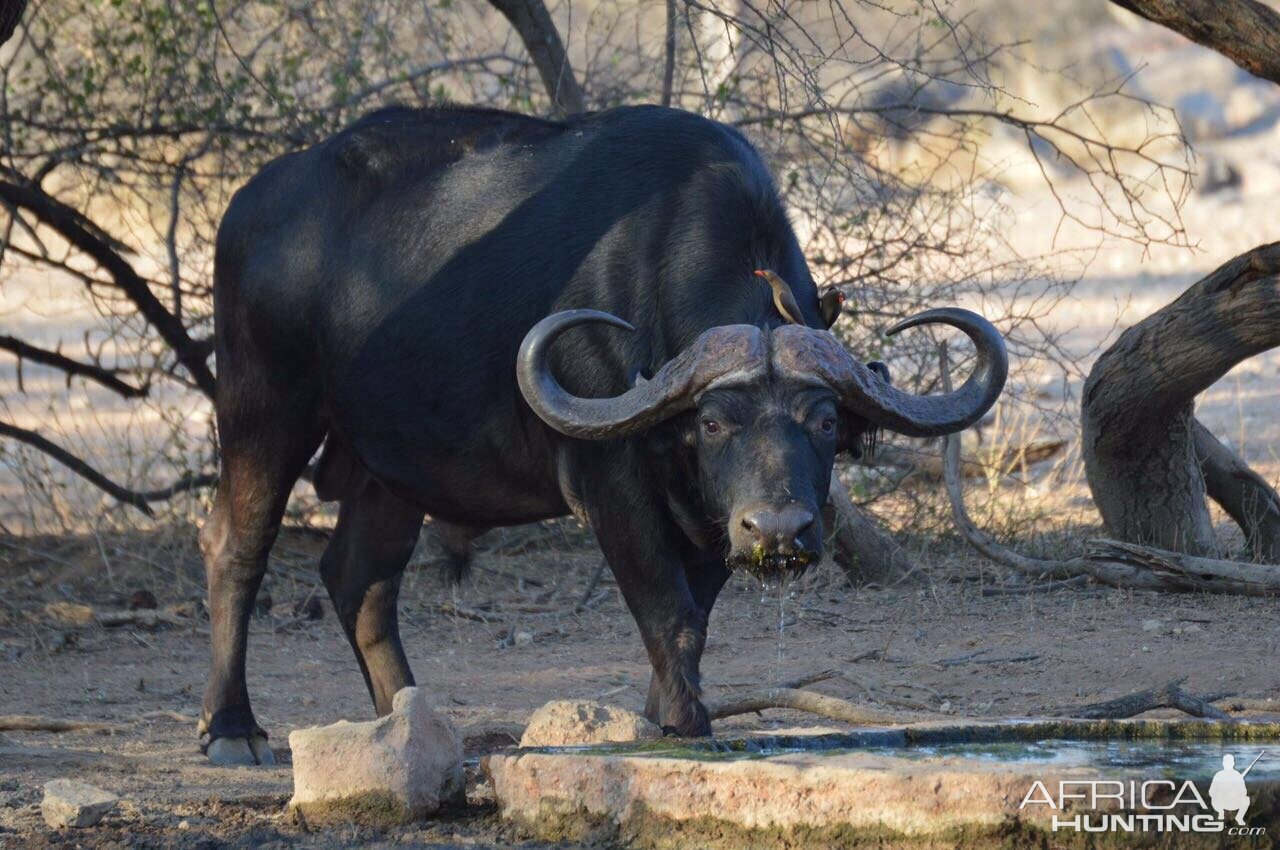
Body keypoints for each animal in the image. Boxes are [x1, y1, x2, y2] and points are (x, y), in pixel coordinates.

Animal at [199, 103, 1003, 757]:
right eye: (714, 421)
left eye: (827, 421)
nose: (778, 531)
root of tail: (245, 206)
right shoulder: (611, 484)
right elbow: (667, 610)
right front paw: (687, 724)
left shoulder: (708, 518)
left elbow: (693, 617)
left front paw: (665, 715)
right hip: (261, 406)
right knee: (238, 546)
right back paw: (233, 730)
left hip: (388, 466)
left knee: (359, 579)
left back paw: (404, 718)